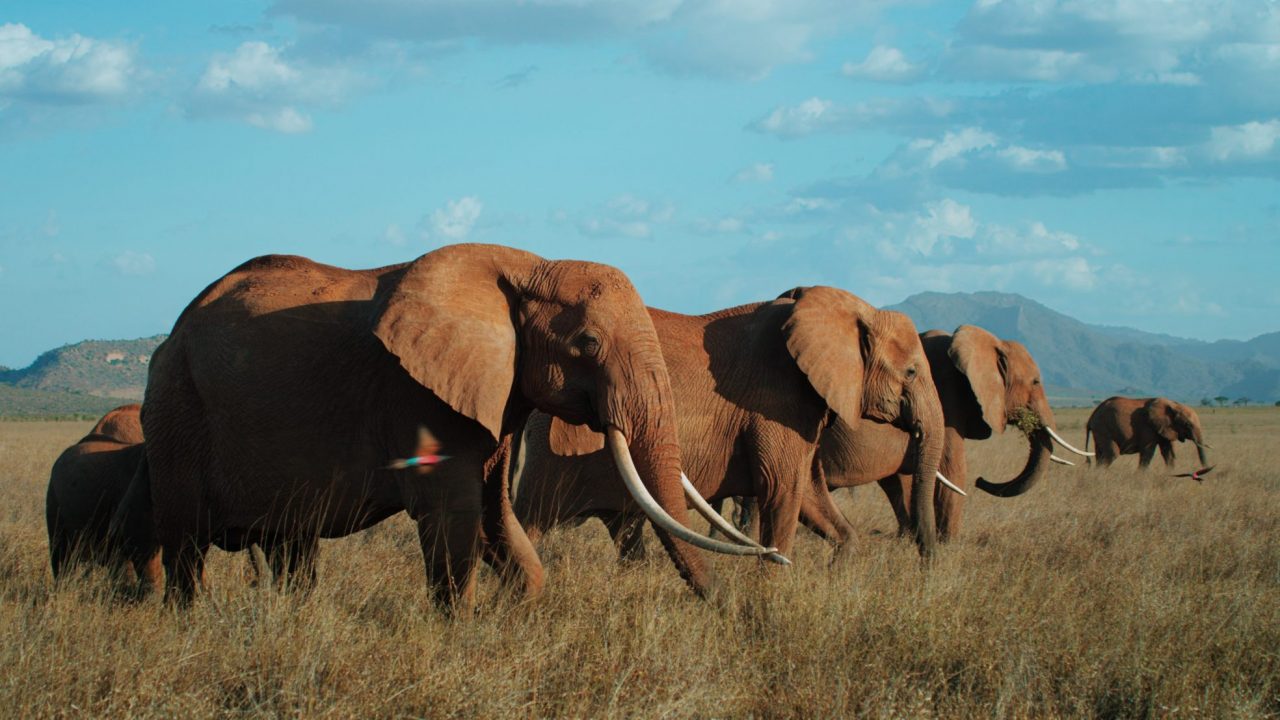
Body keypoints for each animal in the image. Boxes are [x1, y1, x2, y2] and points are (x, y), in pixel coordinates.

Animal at [124, 243, 772, 609]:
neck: (526, 268)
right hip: (176, 409)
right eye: (588, 343)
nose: (730, 612)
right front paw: (462, 626)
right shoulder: (416, 395)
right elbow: (454, 513)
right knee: (186, 544)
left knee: (291, 543)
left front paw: (520, 609)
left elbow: (494, 513)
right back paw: (188, 622)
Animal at [512, 285, 945, 565]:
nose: (928, 562)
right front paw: (770, 591)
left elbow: (810, 496)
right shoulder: (776, 403)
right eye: (910, 372)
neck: (850, 310)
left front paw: (840, 566)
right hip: (551, 455)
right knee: (529, 521)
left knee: (626, 533)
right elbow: (783, 492)